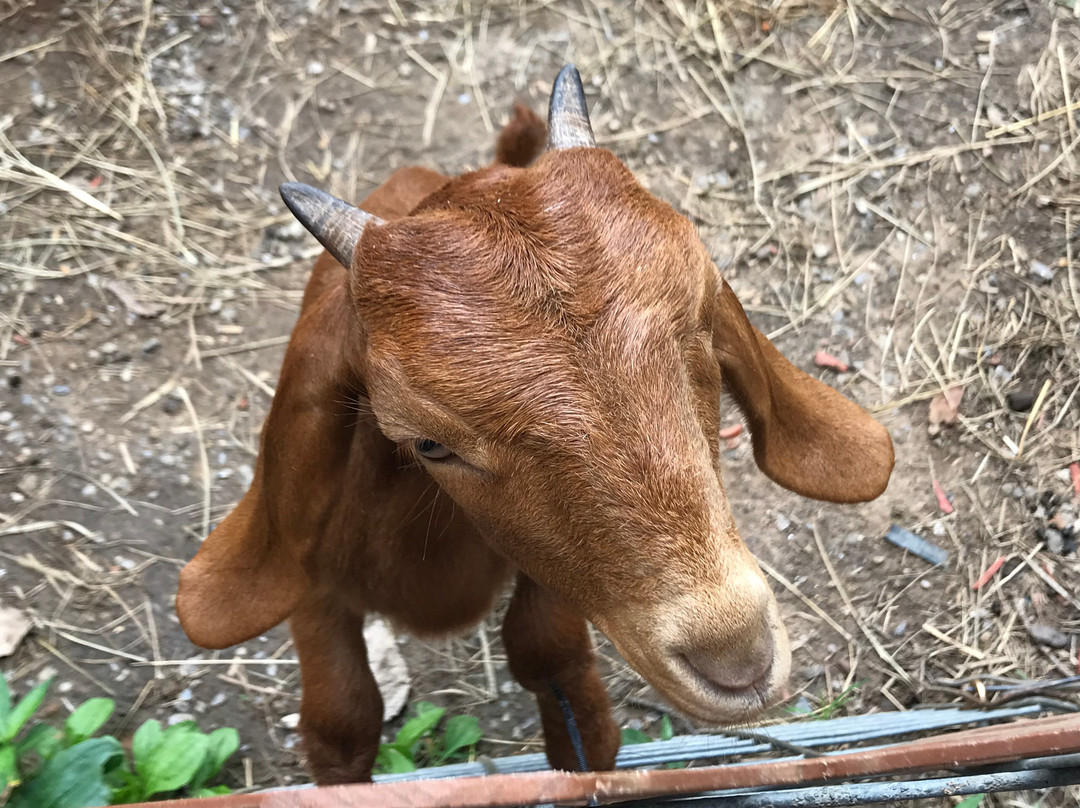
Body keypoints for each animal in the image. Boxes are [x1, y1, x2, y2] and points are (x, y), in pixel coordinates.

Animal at [174, 66, 885, 786]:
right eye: (428, 442)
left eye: (706, 327)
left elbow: (551, 661)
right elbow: (340, 717)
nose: (737, 659)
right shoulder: (312, 576)